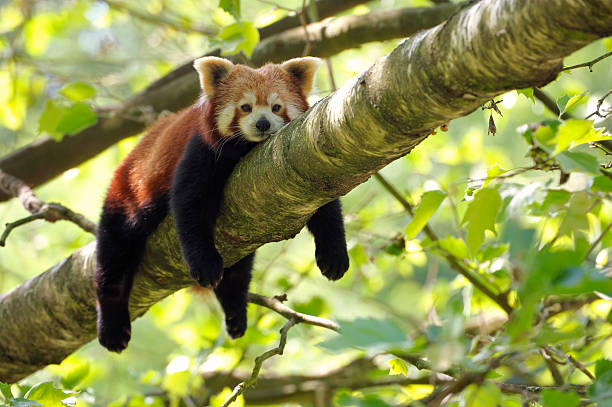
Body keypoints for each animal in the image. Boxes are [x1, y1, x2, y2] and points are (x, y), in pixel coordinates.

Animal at [94, 57, 350, 354]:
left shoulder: (305, 164)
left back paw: (235, 311)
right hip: (128, 196)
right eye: (245, 107)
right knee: (114, 255)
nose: (263, 123)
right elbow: (189, 206)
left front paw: (334, 256)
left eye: (276, 106)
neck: (247, 150)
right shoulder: (202, 149)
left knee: (238, 272)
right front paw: (205, 264)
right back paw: (112, 326)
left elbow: (326, 208)